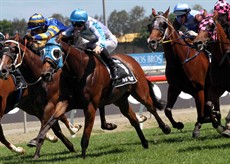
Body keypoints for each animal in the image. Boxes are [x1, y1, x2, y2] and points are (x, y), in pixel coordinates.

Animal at [147, 8, 223, 138]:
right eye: (150, 25)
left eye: (163, 24)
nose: (151, 42)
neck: (179, 60)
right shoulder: (174, 87)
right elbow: (167, 110)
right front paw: (177, 125)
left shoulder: (199, 89)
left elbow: (201, 112)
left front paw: (197, 128)